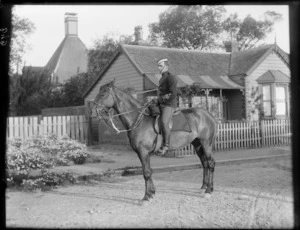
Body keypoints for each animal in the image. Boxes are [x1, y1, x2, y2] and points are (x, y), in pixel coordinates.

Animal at [88, 80, 217, 200]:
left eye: (103, 94)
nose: (92, 111)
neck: (138, 120)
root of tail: (208, 114)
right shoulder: (142, 153)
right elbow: (148, 171)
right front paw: (151, 193)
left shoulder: (143, 151)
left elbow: (146, 173)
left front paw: (146, 197)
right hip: (197, 144)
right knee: (205, 163)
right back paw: (203, 187)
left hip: (206, 143)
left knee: (210, 163)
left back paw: (208, 190)